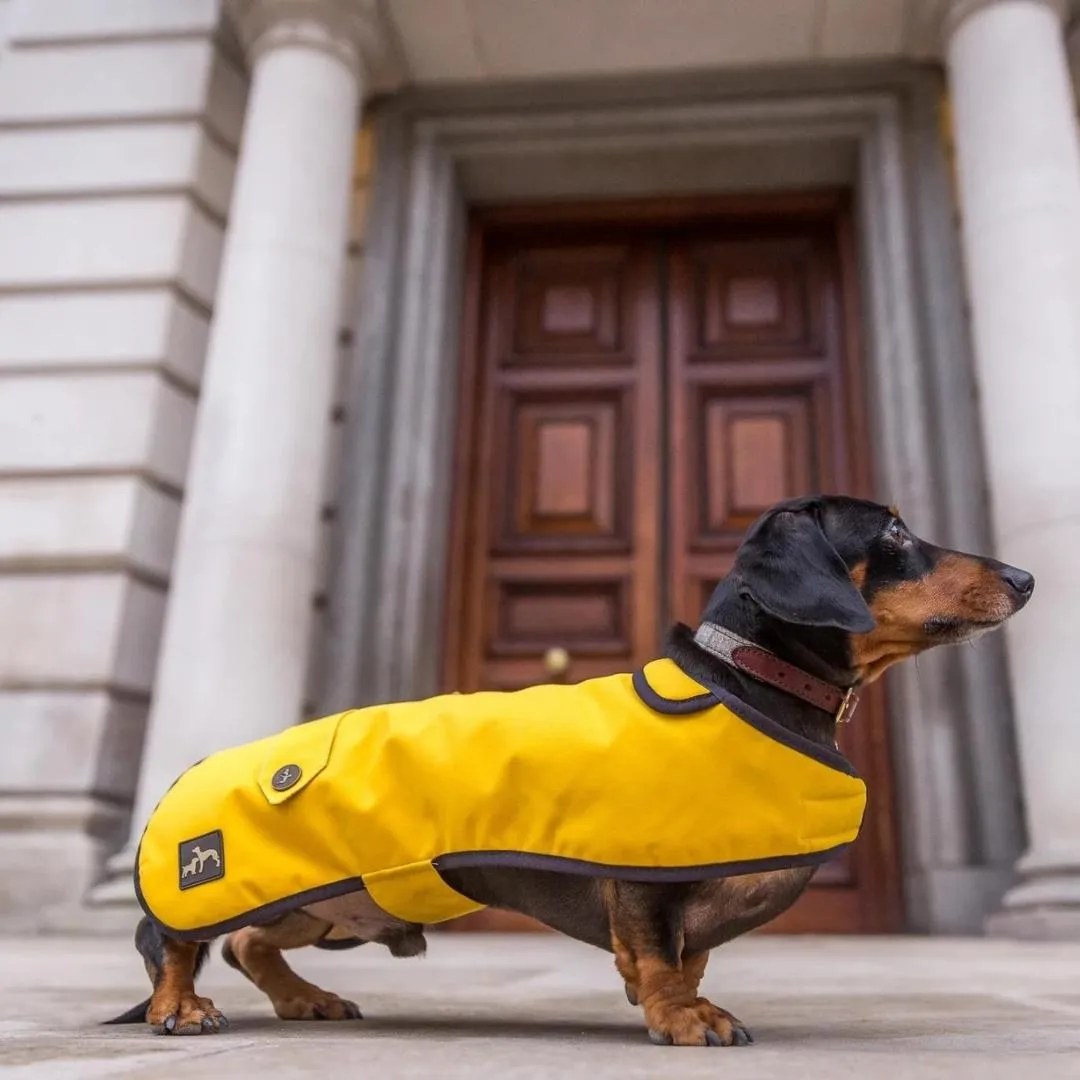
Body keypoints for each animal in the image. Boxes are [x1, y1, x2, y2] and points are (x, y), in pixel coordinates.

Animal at [105, 494, 1032, 1045]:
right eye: (896, 531)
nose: (1025, 576)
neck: (747, 684)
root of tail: (189, 769)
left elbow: (690, 956)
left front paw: (682, 1001)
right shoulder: (647, 881)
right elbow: (660, 955)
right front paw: (683, 1018)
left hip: (333, 907)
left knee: (250, 944)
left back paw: (306, 999)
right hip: (229, 889)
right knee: (175, 944)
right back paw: (181, 1007)